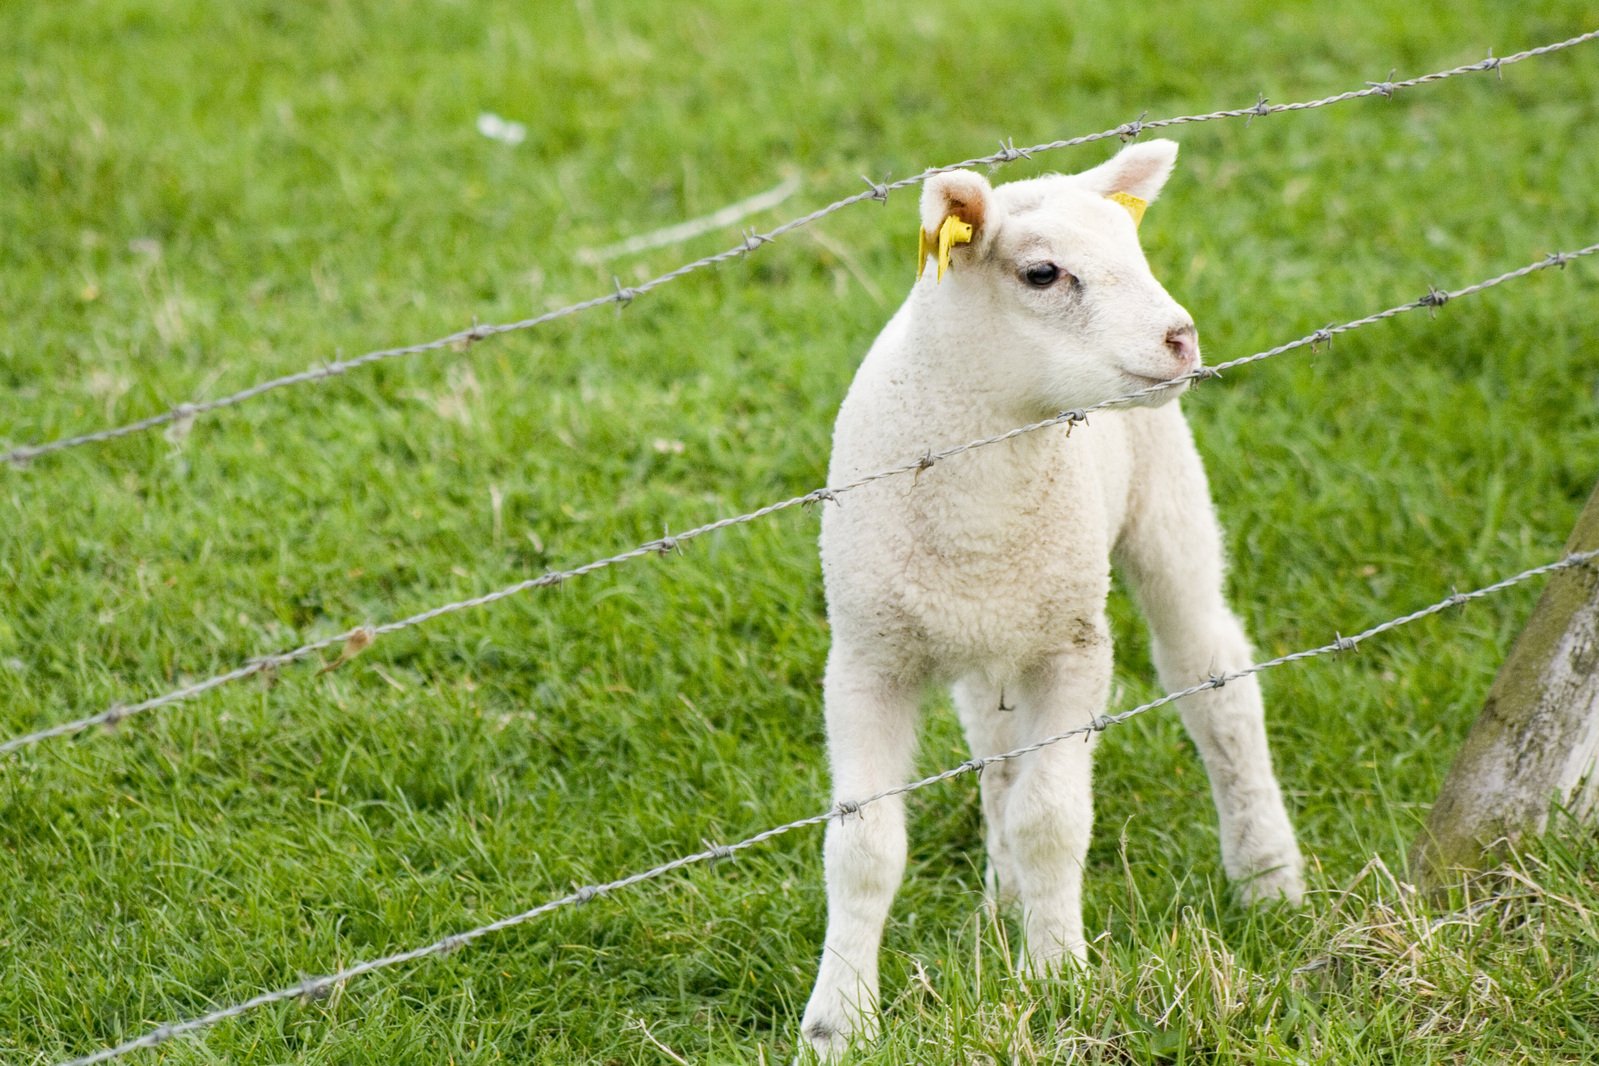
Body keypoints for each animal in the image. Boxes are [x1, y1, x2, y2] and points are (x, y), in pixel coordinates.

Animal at [805, 139, 1304, 1061]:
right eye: (1041, 273)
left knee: (1212, 681)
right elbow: (863, 846)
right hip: (993, 632)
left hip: (1163, 510)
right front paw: (839, 1020)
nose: (1179, 338)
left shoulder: (1074, 650)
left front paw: (1056, 975)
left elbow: (1052, 817)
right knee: (995, 747)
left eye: (1135, 250)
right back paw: (1002, 898)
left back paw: (1265, 873)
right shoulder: (866, 659)